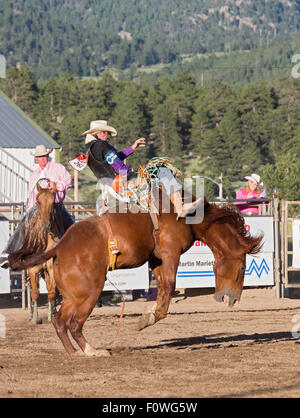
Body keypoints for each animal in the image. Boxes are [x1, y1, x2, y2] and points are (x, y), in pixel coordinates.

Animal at [8, 196, 262, 356]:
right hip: (90, 293)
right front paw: (146, 319)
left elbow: (162, 286)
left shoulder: (157, 258)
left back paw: (74, 352)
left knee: (60, 322)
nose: (233, 299)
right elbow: (170, 286)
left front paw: (149, 313)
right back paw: (93, 351)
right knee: (74, 324)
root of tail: (60, 246)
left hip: (73, 296)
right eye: (243, 268)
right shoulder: (170, 252)